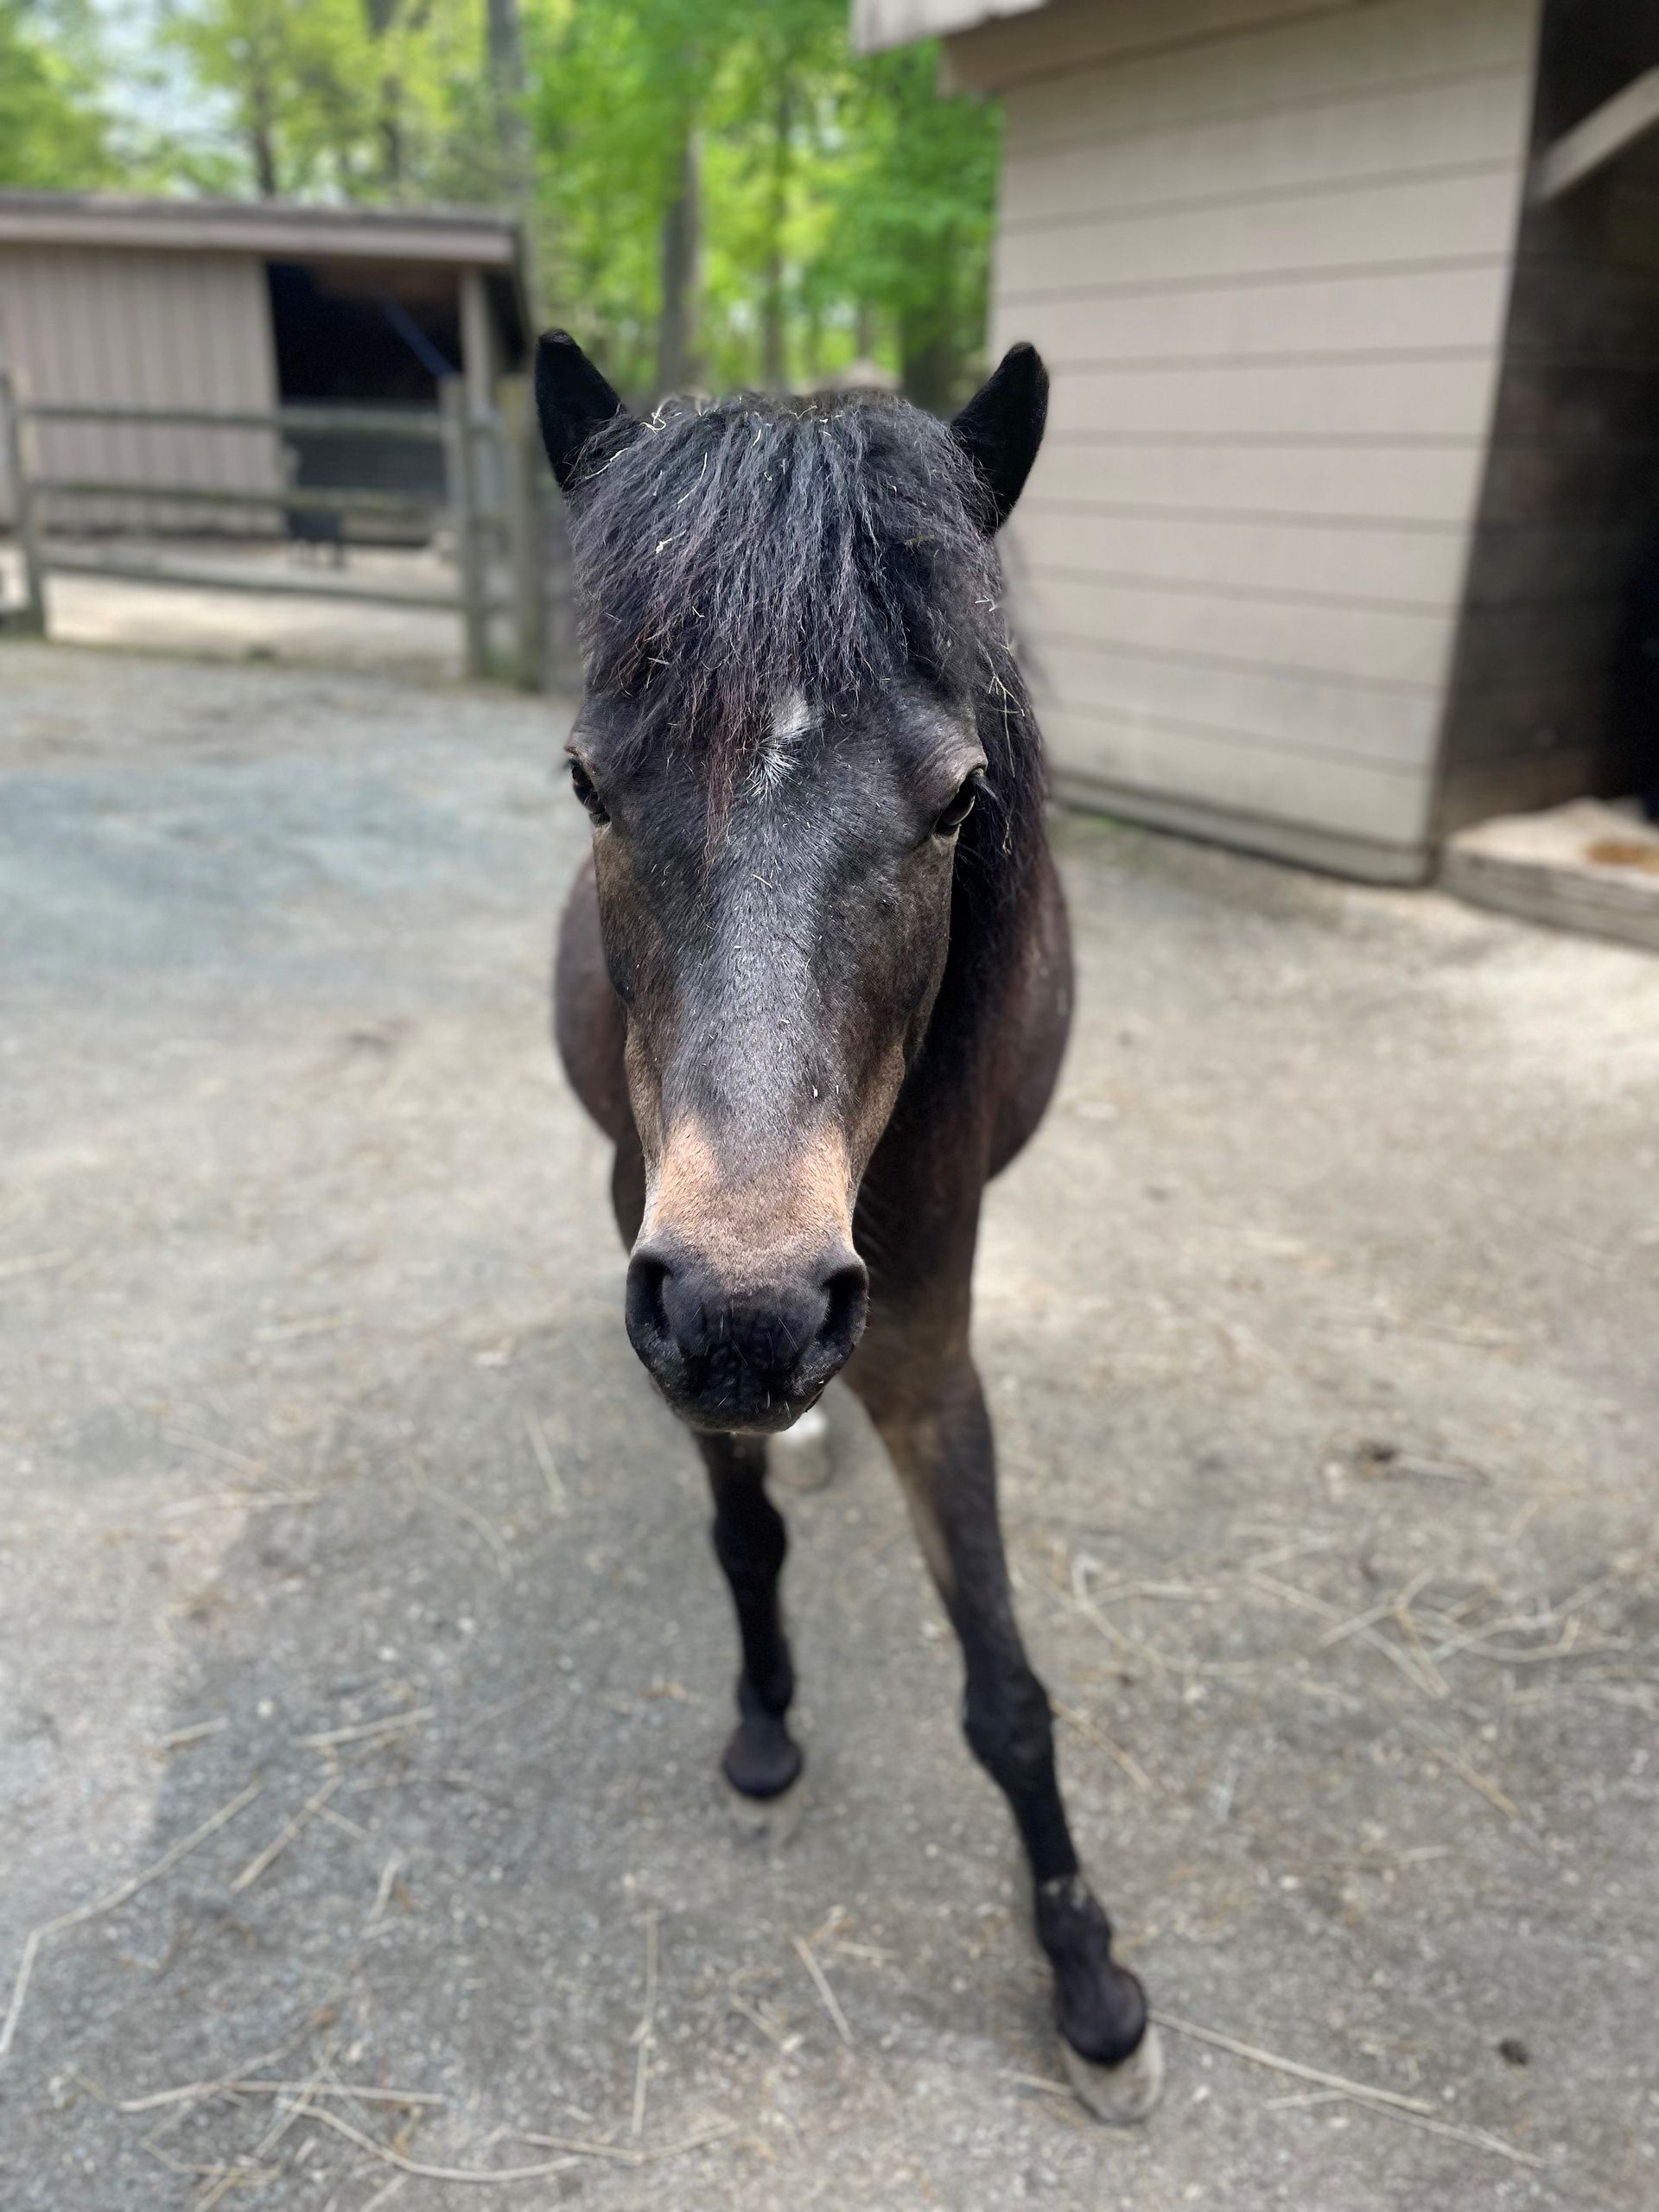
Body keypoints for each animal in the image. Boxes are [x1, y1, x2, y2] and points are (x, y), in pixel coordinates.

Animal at [536, 330, 1163, 2124]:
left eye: (959, 800)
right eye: (589, 780)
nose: (749, 1317)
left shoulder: (932, 1334)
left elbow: (1008, 1691)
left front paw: (1090, 1983)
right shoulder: (657, 1271)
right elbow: (745, 1540)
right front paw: (765, 1732)